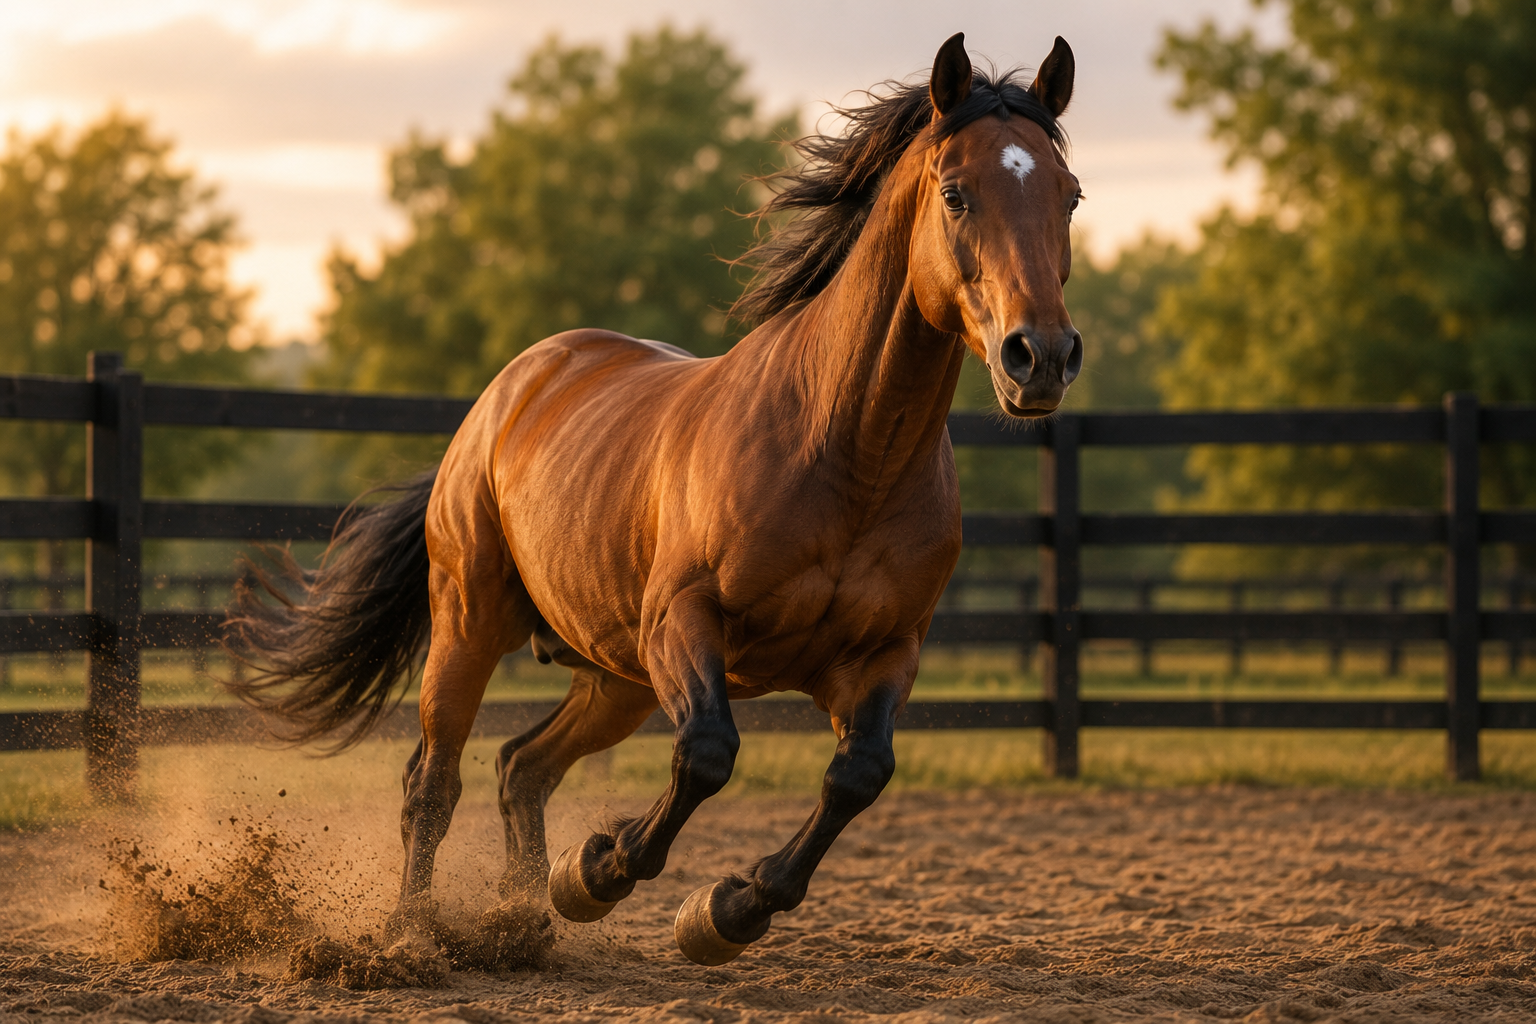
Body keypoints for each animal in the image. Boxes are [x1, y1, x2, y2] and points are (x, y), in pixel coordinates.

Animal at [229, 31, 1082, 967]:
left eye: (1070, 194)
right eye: (957, 192)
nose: (1040, 356)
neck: (844, 453)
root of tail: (506, 393)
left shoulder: (885, 654)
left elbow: (858, 776)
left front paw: (726, 907)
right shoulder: (685, 621)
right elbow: (707, 754)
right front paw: (604, 871)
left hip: (617, 676)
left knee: (521, 766)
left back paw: (521, 921)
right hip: (471, 623)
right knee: (435, 780)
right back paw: (412, 934)